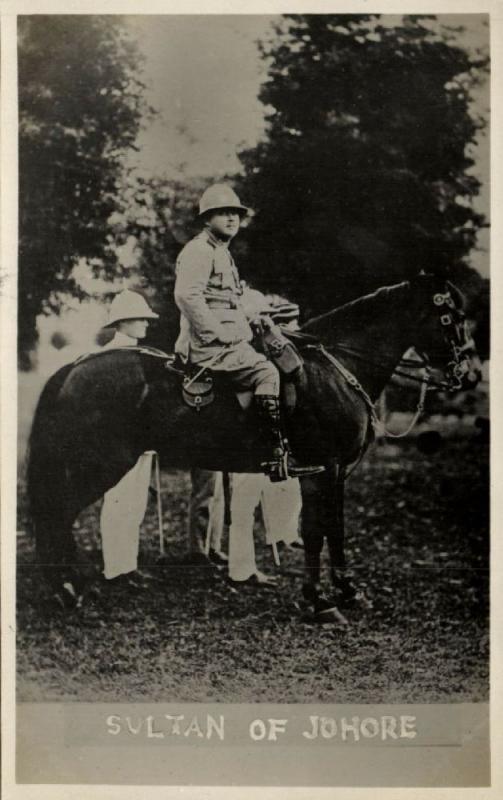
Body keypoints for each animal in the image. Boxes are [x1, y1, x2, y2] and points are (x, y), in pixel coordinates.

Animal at [26, 276, 480, 620]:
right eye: (451, 317)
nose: (472, 373)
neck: (334, 369)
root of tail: (75, 367)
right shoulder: (320, 469)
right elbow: (315, 531)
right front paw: (319, 602)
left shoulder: (337, 474)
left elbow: (336, 529)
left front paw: (348, 592)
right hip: (97, 465)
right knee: (57, 514)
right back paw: (67, 588)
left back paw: (71, 586)